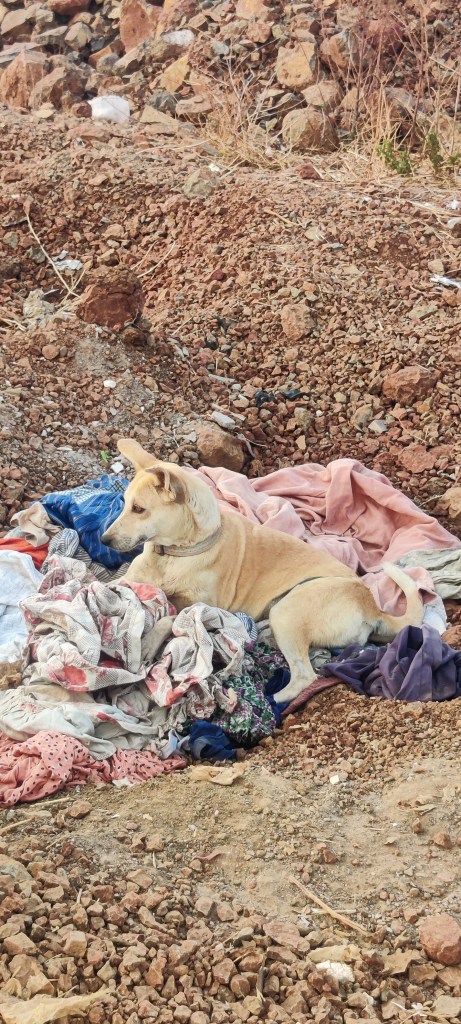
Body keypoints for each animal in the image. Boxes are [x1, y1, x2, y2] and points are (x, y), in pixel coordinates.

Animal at [101, 439, 424, 704]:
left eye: (139, 509)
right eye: (125, 504)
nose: (104, 541)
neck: (175, 554)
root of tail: (373, 607)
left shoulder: (201, 605)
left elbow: (168, 617)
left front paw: (147, 643)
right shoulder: (134, 579)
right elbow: (115, 587)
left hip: (290, 610)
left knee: (305, 676)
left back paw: (271, 699)